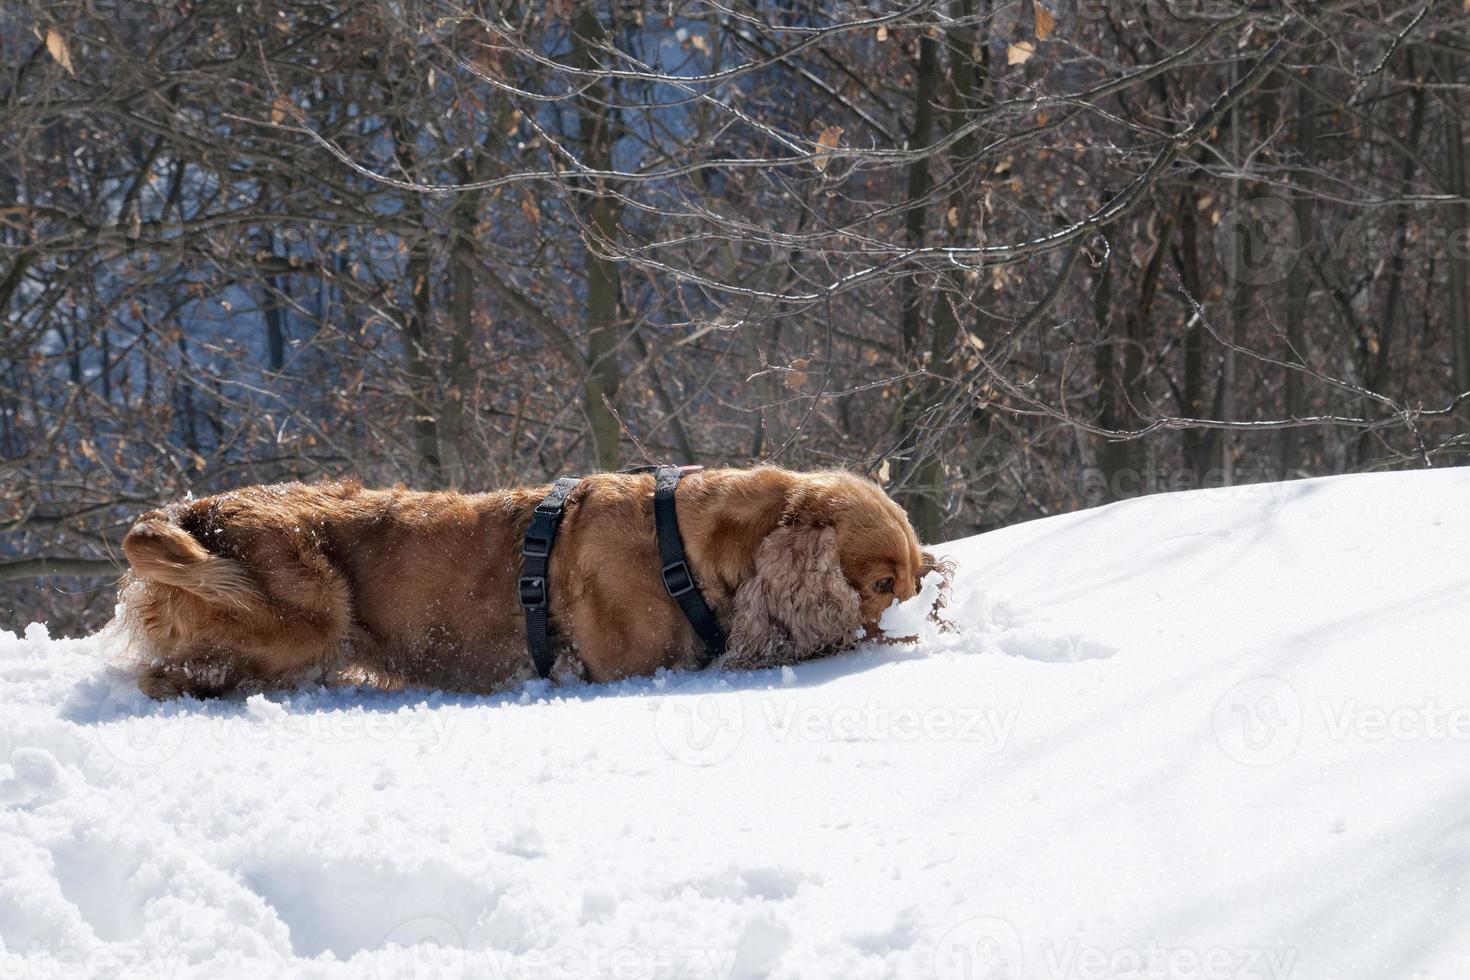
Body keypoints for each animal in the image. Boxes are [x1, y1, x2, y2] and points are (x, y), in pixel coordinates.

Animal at [120, 467, 934, 696]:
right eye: (881, 584)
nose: (913, 610)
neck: (688, 551)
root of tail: (193, 510)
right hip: (310, 617)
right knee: (166, 677)